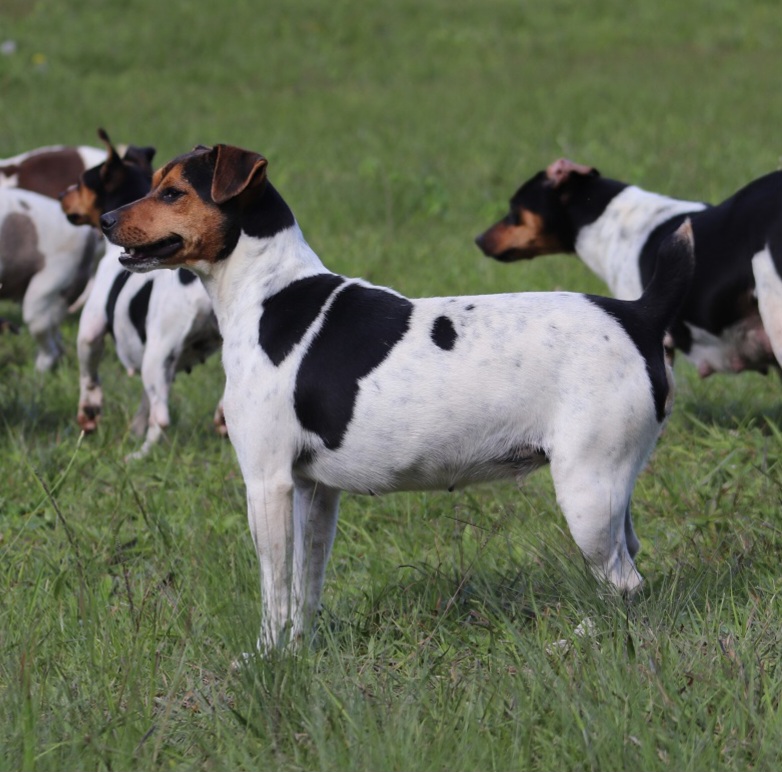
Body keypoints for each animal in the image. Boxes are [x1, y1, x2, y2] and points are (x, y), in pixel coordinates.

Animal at [101, 143, 696, 652]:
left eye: (173, 192)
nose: (105, 220)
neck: (268, 292)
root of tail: (639, 314)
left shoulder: (267, 483)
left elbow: (275, 592)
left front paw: (265, 660)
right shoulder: (314, 490)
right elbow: (305, 586)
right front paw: (299, 654)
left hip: (584, 493)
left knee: (624, 583)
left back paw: (577, 640)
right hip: (610, 488)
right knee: (629, 562)